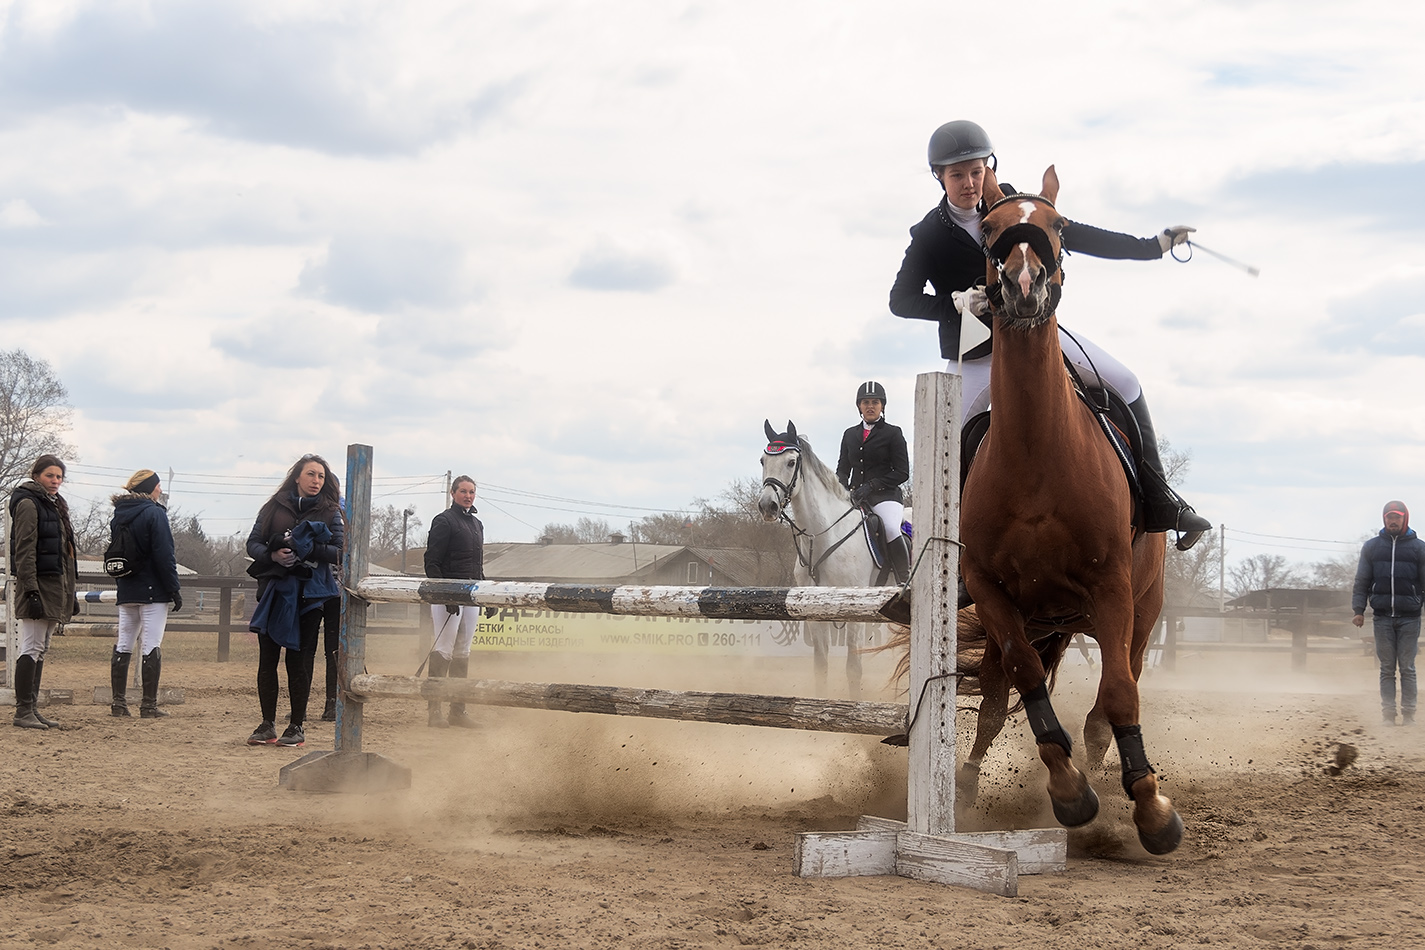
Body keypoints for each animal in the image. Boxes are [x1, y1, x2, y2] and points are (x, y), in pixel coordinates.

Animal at [758, 421, 889, 697]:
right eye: (763, 460)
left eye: (791, 462)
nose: (767, 506)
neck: (824, 536)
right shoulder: (814, 610)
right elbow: (821, 666)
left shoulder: (856, 609)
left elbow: (853, 668)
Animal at [963, 167, 1185, 860]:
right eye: (988, 228)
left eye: (1059, 226)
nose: (1024, 285)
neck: (1038, 454)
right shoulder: (992, 592)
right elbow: (1025, 678)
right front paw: (1068, 792)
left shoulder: (1111, 585)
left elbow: (1118, 695)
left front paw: (1151, 808)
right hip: (1039, 619)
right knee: (999, 697)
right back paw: (968, 784)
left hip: (1143, 608)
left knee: (1114, 695)